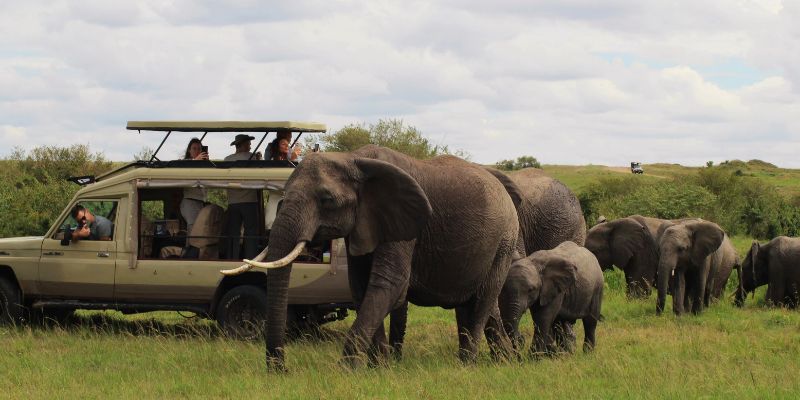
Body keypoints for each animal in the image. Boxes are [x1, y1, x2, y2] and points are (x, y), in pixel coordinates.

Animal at [221, 145, 520, 370]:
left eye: (327, 200)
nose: (281, 370)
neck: (353, 158)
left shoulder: (404, 223)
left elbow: (389, 284)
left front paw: (345, 371)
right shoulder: (366, 223)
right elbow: (361, 286)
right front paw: (379, 369)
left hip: (504, 241)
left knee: (482, 301)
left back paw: (467, 364)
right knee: (476, 303)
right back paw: (504, 362)